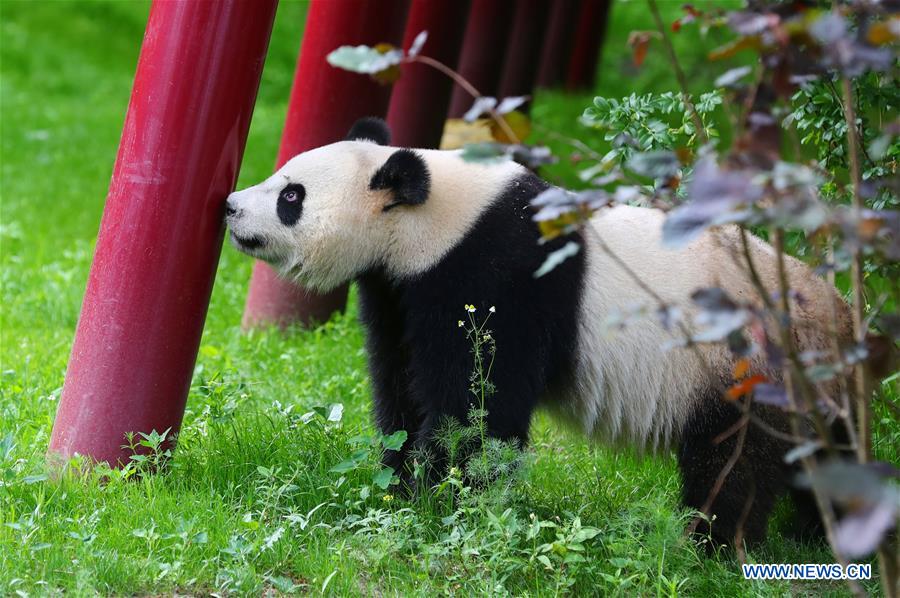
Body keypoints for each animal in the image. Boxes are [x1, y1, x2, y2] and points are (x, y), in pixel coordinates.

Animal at [225, 117, 852, 547]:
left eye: (290, 196)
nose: (231, 206)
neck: (431, 220)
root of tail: (841, 319)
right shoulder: (397, 289)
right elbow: (401, 381)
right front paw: (399, 476)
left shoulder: (495, 275)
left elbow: (478, 402)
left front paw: (438, 498)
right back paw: (823, 531)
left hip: (742, 367)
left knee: (734, 460)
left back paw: (709, 543)